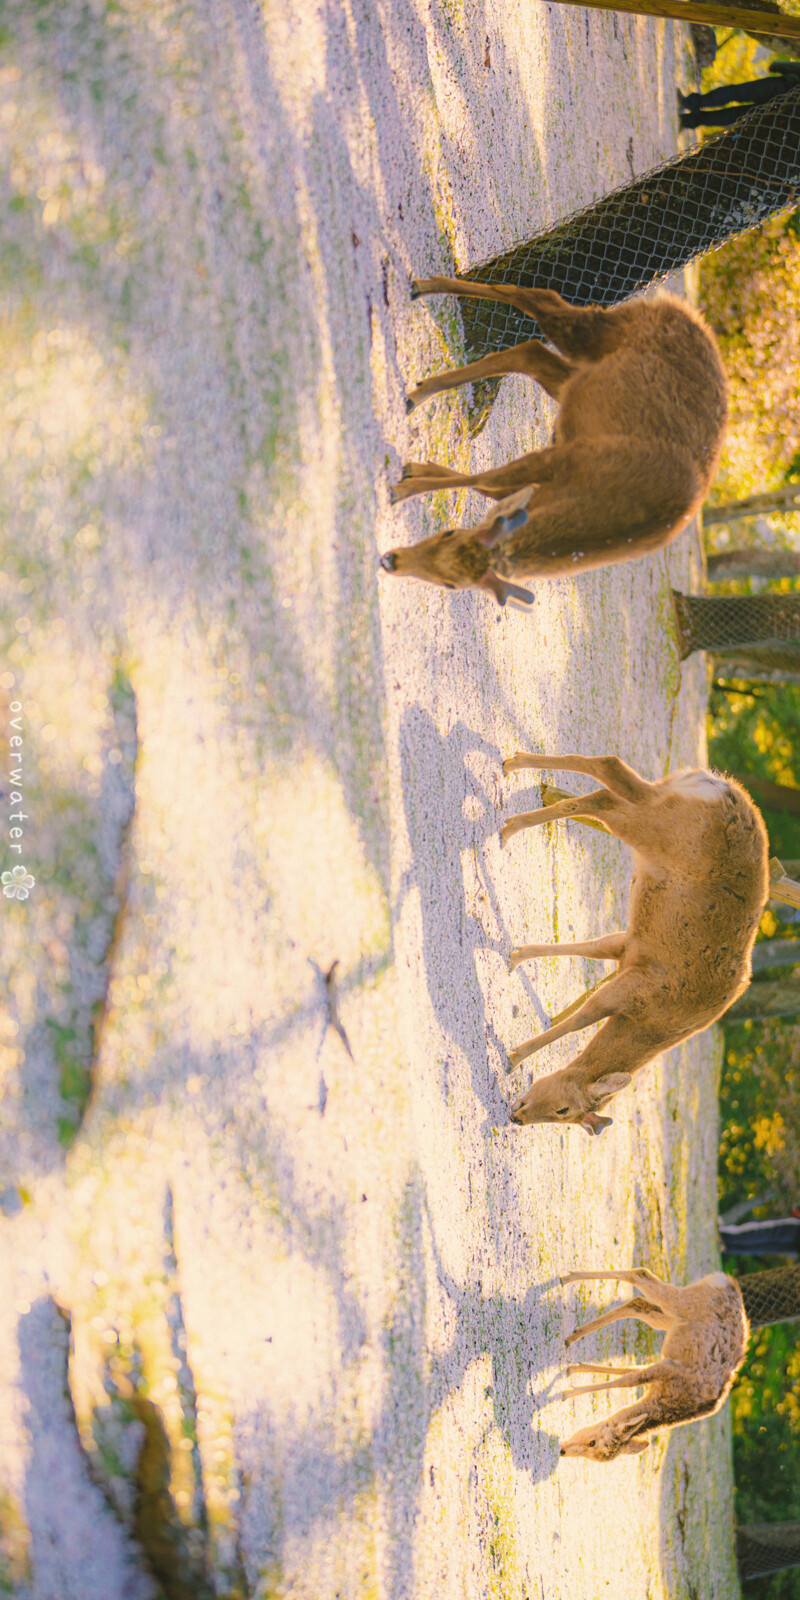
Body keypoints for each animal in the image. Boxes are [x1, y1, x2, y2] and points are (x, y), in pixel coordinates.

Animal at [377, 278, 729, 601]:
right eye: (446, 533)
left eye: (450, 584)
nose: (390, 561)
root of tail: (677, 307)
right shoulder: (563, 456)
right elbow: (484, 480)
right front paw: (399, 489)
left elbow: (485, 485)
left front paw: (410, 473)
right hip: (592, 332)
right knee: (536, 299)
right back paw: (422, 289)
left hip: (575, 377)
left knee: (530, 350)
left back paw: (416, 392)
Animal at [499, 752, 768, 1139]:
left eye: (563, 1114)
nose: (516, 1117)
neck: (658, 1020)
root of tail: (719, 786)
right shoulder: (633, 988)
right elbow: (580, 1020)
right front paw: (512, 1057)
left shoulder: (630, 949)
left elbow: (593, 948)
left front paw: (516, 956)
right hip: (659, 828)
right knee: (607, 786)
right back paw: (510, 821)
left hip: (661, 807)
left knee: (610, 783)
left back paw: (511, 769)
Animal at [556, 1260, 748, 1465]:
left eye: (593, 1445)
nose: (563, 1451)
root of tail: (725, 1280)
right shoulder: (668, 1368)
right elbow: (628, 1380)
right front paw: (567, 1392)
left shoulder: (665, 1367)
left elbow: (629, 1373)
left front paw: (572, 1372)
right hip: (683, 1304)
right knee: (641, 1275)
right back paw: (566, 1281)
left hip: (671, 1318)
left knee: (640, 1303)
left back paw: (572, 1333)